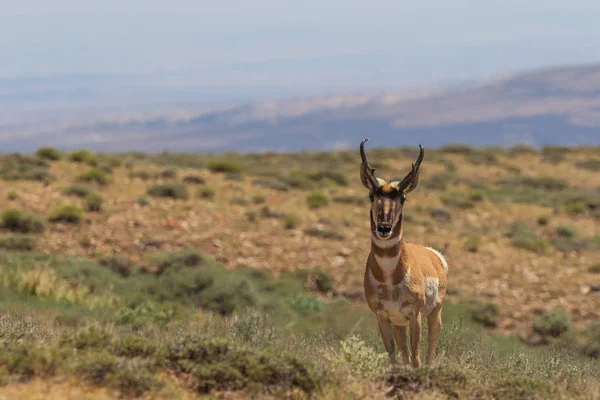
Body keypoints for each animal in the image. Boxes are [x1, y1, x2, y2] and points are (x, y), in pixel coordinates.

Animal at [358, 139, 448, 368]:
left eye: (403, 198)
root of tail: (435, 256)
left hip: (435, 314)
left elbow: (416, 357)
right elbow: (393, 356)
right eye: (371, 195)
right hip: (400, 324)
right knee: (404, 352)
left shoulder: (415, 315)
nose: (384, 228)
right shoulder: (383, 317)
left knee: (429, 352)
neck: (390, 277)